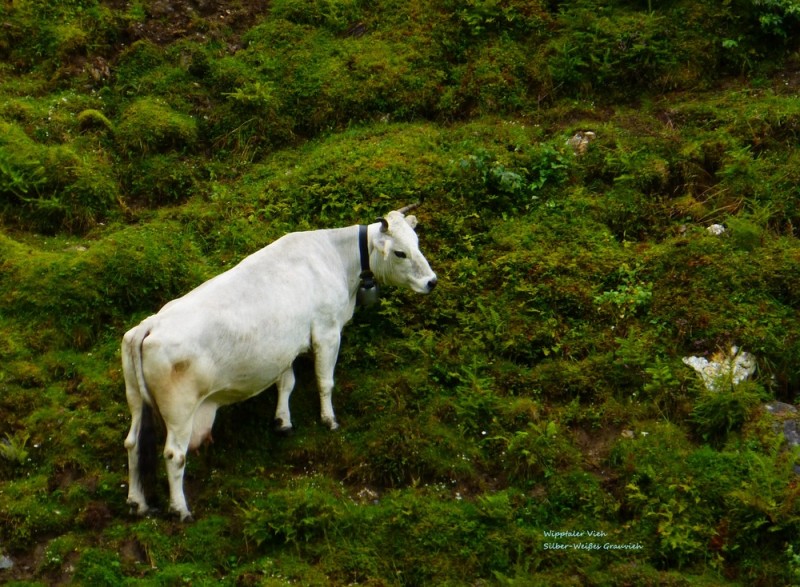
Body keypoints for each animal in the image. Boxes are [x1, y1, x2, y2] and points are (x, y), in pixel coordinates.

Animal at [120, 207, 438, 520]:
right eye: (400, 253)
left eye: (417, 243)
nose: (431, 281)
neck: (335, 256)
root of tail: (149, 325)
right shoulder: (327, 331)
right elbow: (325, 381)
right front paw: (329, 419)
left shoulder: (285, 349)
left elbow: (286, 383)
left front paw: (283, 422)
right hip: (180, 410)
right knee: (174, 455)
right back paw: (180, 509)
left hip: (136, 400)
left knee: (133, 443)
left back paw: (138, 503)